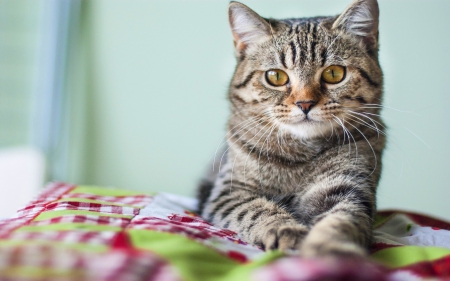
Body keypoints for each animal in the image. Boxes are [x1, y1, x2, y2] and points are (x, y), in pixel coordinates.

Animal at [199, 0, 384, 256]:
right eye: (275, 76)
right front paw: (286, 230)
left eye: (334, 73)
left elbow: (342, 220)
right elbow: (256, 209)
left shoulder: (347, 186)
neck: (299, 156)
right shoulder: (230, 191)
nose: (305, 103)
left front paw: (332, 249)